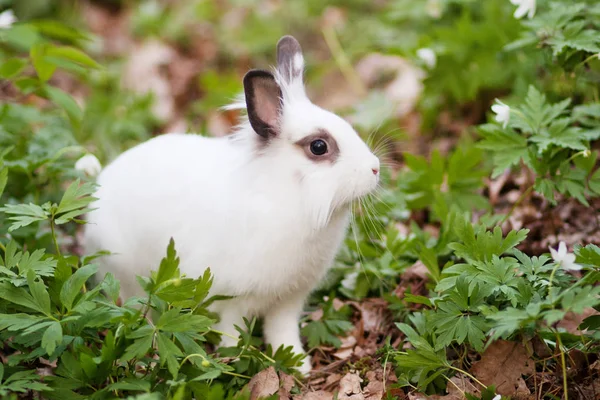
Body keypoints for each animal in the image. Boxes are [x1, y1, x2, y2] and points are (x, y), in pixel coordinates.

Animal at [82, 34, 380, 376]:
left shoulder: (289, 299)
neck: (287, 194)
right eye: (319, 146)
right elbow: (231, 332)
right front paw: (234, 360)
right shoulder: (232, 301)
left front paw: (298, 365)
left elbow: (283, 333)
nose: (375, 168)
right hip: (126, 277)